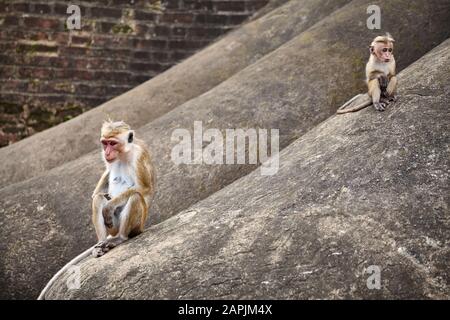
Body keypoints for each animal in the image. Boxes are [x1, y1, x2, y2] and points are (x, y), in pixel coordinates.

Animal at [37, 120, 156, 300]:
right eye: (105, 143)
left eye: (113, 143)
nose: (106, 152)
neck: (123, 154)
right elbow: (98, 191)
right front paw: (104, 199)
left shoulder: (139, 156)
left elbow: (143, 189)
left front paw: (109, 206)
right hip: (112, 227)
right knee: (98, 199)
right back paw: (100, 243)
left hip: (137, 225)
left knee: (135, 197)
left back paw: (120, 238)